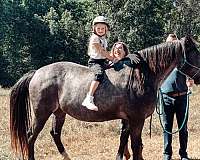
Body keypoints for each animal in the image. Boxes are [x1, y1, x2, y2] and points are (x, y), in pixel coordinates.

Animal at [9, 35, 200, 159]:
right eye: (196, 53)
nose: (198, 78)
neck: (140, 76)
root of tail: (36, 73)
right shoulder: (136, 120)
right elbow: (136, 146)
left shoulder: (128, 120)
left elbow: (125, 141)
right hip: (41, 113)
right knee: (31, 136)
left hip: (59, 112)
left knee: (55, 134)